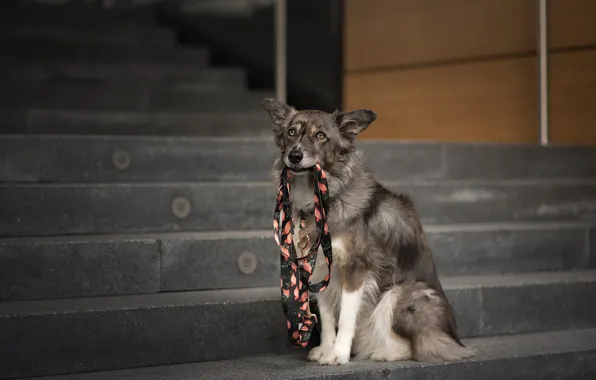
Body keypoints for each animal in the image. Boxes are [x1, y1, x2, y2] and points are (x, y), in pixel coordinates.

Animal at [262, 98, 474, 366]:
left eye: (320, 135)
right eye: (291, 132)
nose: (295, 156)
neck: (321, 198)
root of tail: (453, 337)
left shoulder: (356, 268)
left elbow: (345, 318)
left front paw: (339, 354)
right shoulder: (320, 268)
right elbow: (328, 318)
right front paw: (326, 349)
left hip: (402, 292)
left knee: (418, 345)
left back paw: (385, 352)